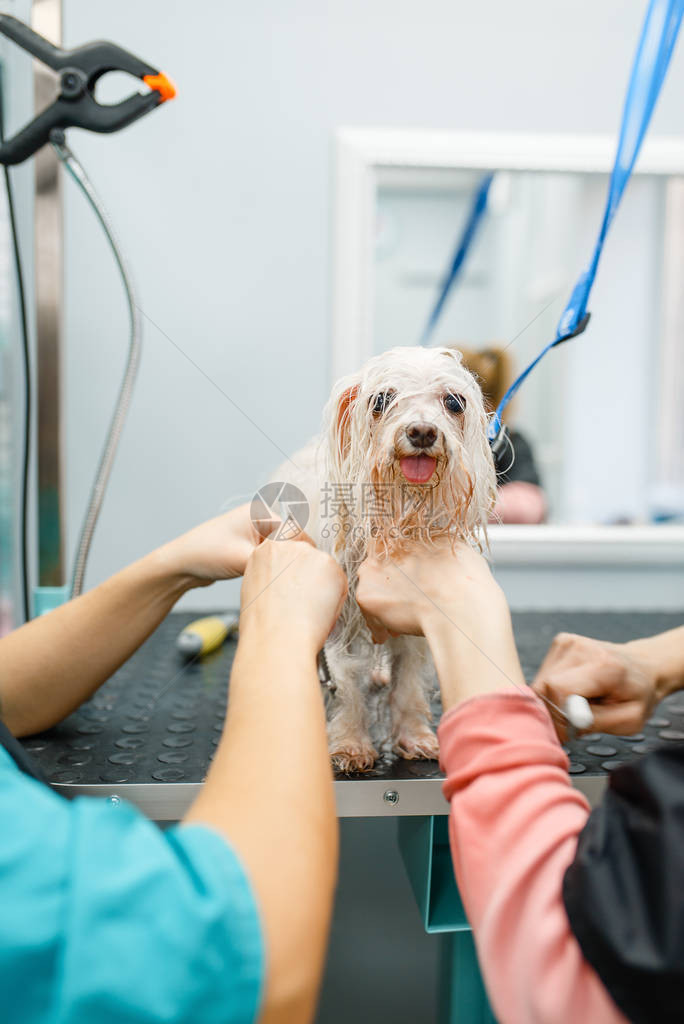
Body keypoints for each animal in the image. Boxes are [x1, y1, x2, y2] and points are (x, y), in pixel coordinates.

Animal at [270, 348, 491, 770]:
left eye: (454, 402)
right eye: (382, 400)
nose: (421, 432)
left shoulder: (414, 621)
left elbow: (407, 685)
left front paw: (414, 736)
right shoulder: (342, 621)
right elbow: (347, 686)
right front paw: (350, 744)